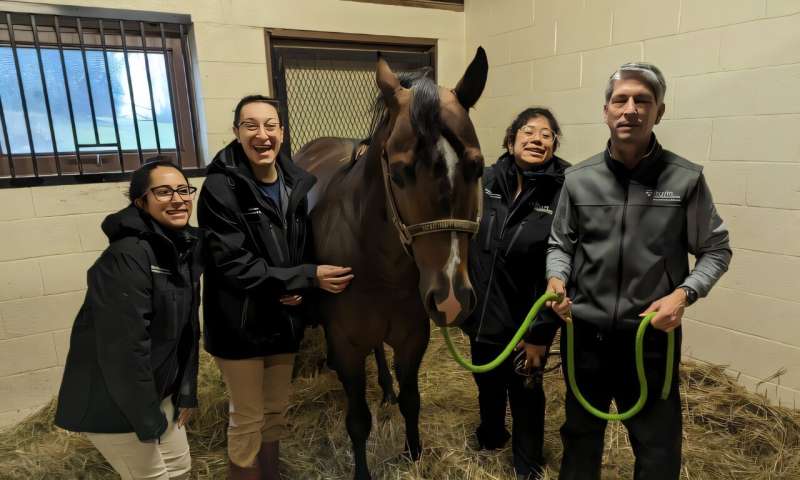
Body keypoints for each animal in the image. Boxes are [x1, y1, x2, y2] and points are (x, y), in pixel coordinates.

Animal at [294, 48, 488, 480]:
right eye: (398, 173)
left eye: (478, 167)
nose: (451, 299)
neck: (380, 262)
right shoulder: (347, 343)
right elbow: (357, 421)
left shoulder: (412, 337)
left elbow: (411, 400)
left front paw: (413, 453)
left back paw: (384, 386)